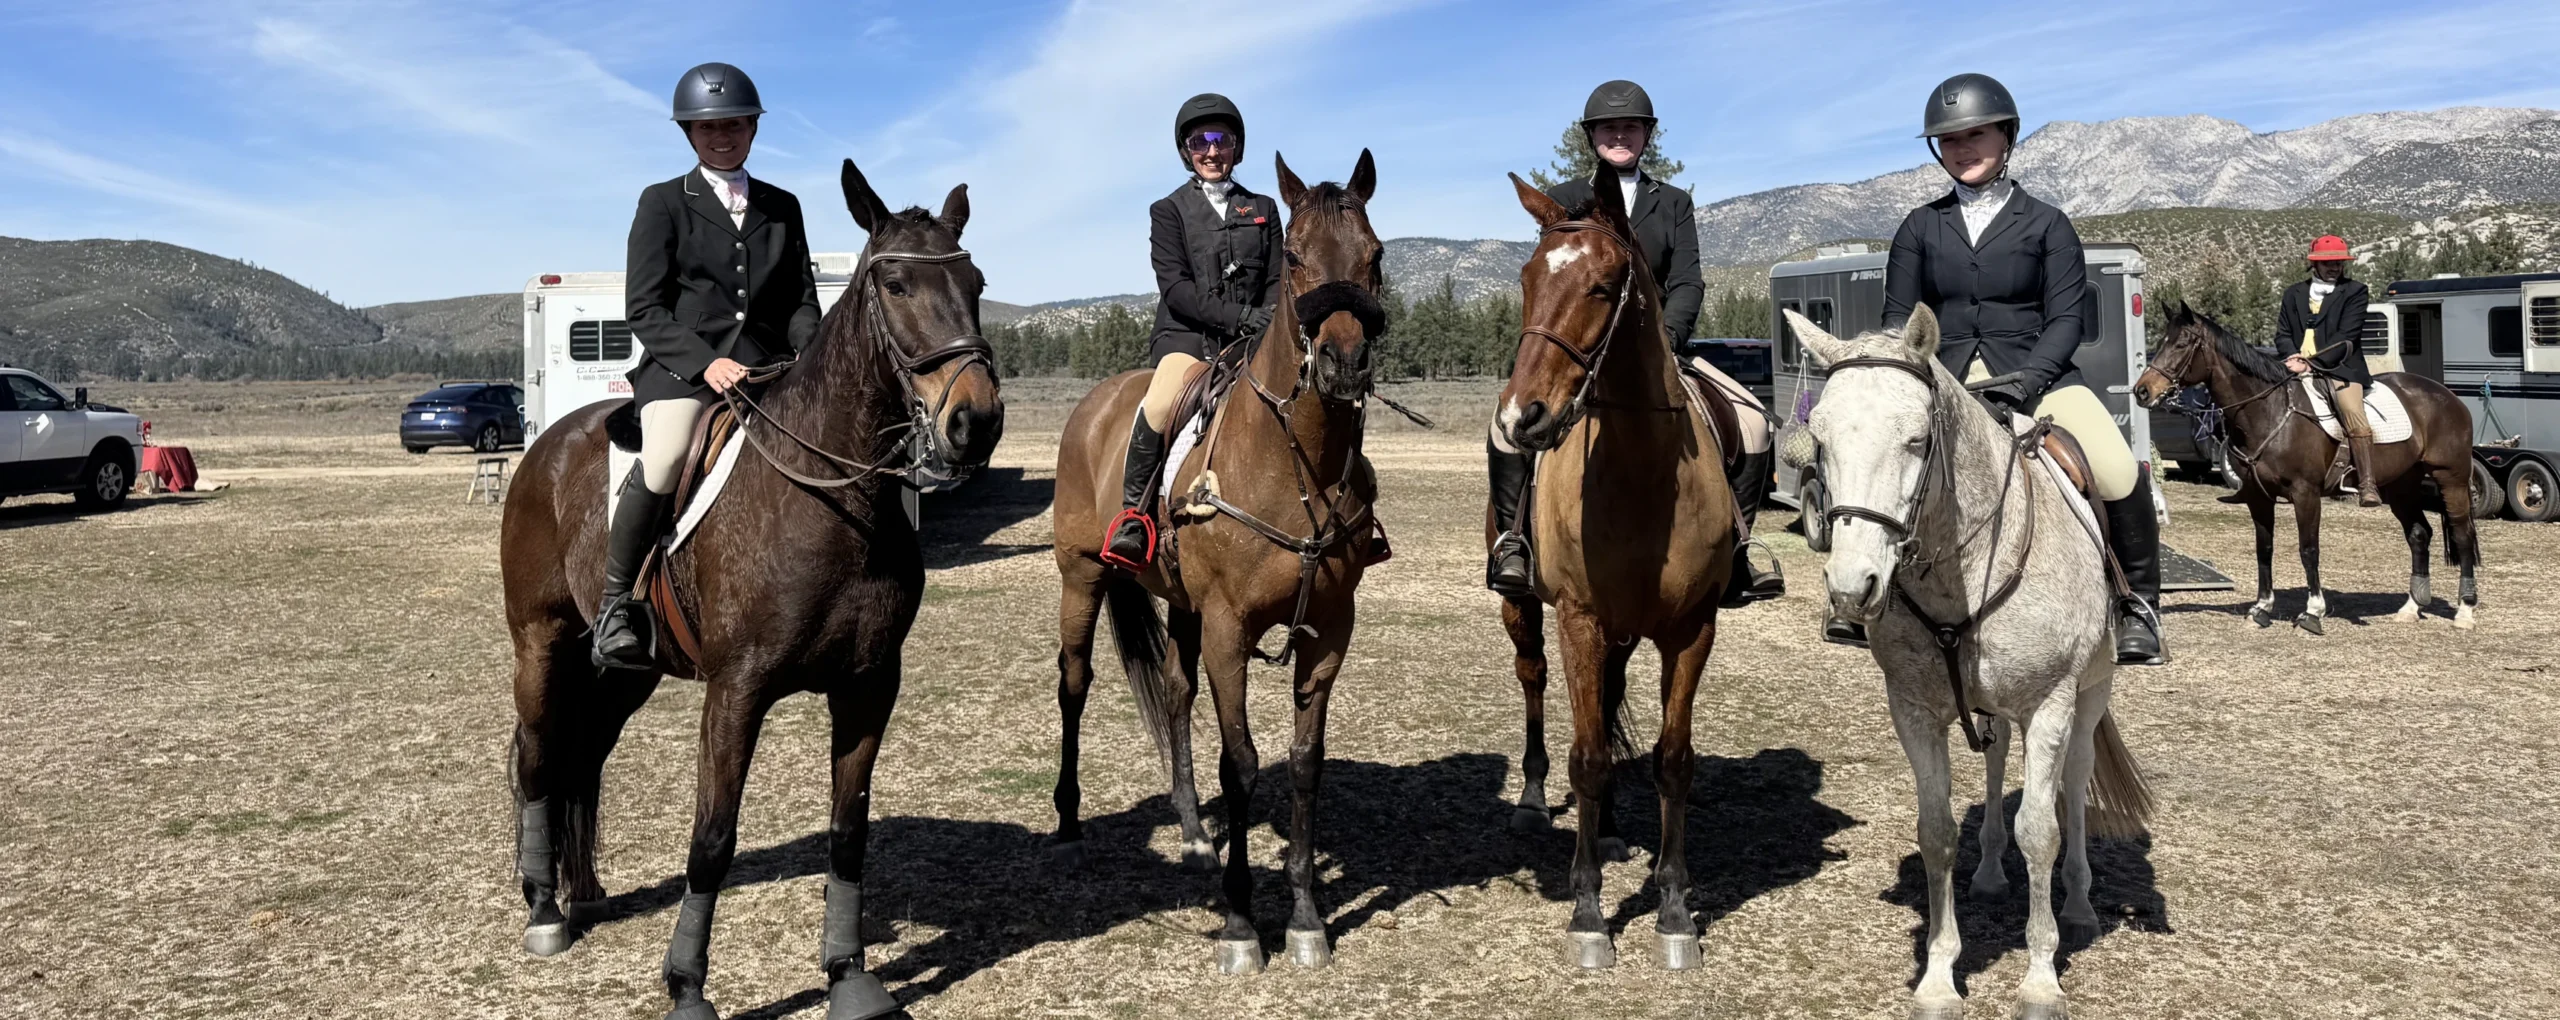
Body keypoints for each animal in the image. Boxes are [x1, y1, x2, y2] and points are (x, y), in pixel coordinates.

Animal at [501, 159, 1004, 1020]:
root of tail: (548, 446)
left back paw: (586, 892)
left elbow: (847, 830)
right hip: (541, 642)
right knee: (537, 759)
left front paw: (847, 975)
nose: (976, 422)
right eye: (896, 283)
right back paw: (542, 909)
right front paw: (687, 987)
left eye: (975, 282)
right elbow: (713, 836)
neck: (834, 497)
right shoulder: (736, 690)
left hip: (626, 670)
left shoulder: (870, 683)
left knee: (582, 756)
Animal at [1051, 151, 1388, 976]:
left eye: (1374, 255)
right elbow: (1241, 761)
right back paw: (1069, 824)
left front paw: (1305, 917)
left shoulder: (1330, 630)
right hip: (1082, 574)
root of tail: (1095, 402)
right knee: (1075, 683)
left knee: (1173, 693)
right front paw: (1240, 925)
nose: (1343, 364)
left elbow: (1304, 761)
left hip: (1180, 603)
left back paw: (1195, 832)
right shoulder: (1231, 629)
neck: (1295, 463)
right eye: (1294, 256)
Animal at [1491, 171, 1738, 971]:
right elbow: (1589, 758)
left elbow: (1673, 760)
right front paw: (1589, 914)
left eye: (1602, 287)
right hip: (1528, 614)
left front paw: (1674, 908)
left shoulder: (1692, 629)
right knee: (1537, 682)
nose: (1521, 418)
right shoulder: (1579, 618)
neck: (1639, 472)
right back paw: (1539, 803)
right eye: (1527, 279)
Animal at [1783, 303, 2153, 1020]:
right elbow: (1936, 831)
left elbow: (2039, 830)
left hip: (2089, 695)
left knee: (2072, 786)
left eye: (1917, 441)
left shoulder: (2050, 705)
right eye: (1821, 439)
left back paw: (2079, 903)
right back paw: (1986, 873)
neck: (1963, 570)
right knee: (1996, 758)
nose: (1852, 589)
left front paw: (2040, 977)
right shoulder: (1914, 711)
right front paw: (1937, 975)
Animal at [2133, 304, 2479, 633]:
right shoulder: (2258, 498)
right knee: (2419, 534)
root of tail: (2447, 395)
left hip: (2451, 478)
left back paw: (2465, 610)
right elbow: (2264, 549)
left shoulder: (2306, 494)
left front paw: (2313, 612)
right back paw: (2411, 607)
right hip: (2401, 485)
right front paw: (2261, 609)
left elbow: (2308, 549)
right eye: (2161, 342)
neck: (2269, 411)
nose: (2142, 391)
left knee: (2462, 535)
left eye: (2182, 344)